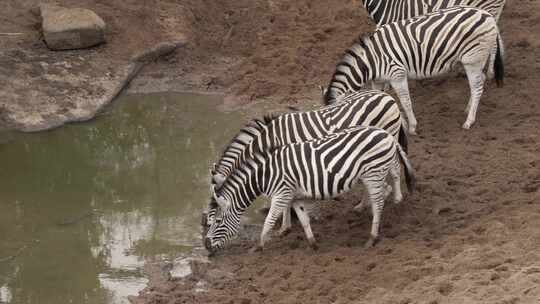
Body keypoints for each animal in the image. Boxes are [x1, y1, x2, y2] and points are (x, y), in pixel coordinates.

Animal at [201, 124, 414, 253]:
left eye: (217, 221)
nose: (206, 245)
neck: (264, 175)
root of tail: (385, 133)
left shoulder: (281, 194)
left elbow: (268, 221)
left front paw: (258, 246)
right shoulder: (295, 197)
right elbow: (304, 220)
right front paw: (313, 243)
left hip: (373, 173)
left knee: (379, 202)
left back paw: (372, 237)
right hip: (372, 175)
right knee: (383, 192)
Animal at [202, 89, 404, 236]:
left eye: (215, 203)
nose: (203, 223)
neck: (268, 139)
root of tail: (386, 95)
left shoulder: (283, 165)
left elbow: (284, 200)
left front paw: (284, 226)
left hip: (389, 135)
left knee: (394, 168)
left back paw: (395, 198)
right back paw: (364, 204)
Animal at [324, 5, 506, 134]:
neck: (370, 62)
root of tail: (488, 15)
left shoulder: (397, 74)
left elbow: (405, 101)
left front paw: (411, 126)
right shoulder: (378, 80)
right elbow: (381, 98)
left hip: (472, 59)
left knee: (477, 88)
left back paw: (469, 121)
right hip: (476, 59)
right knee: (479, 82)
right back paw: (468, 109)